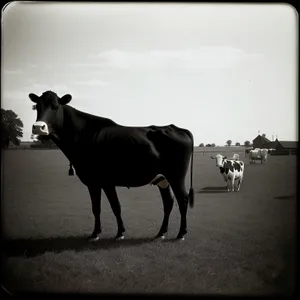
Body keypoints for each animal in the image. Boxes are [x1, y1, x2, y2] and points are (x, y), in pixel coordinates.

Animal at [29, 89, 195, 241]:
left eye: (55, 106)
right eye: (37, 106)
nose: (38, 127)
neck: (83, 136)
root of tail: (176, 128)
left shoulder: (106, 182)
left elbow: (115, 206)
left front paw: (119, 233)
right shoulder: (93, 182)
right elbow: (96, 208)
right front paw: (95, 233)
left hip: (176, 176)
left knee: (183, 199)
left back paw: (181, 233)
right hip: (162, 179)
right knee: (169, 202)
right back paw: (161, 232)